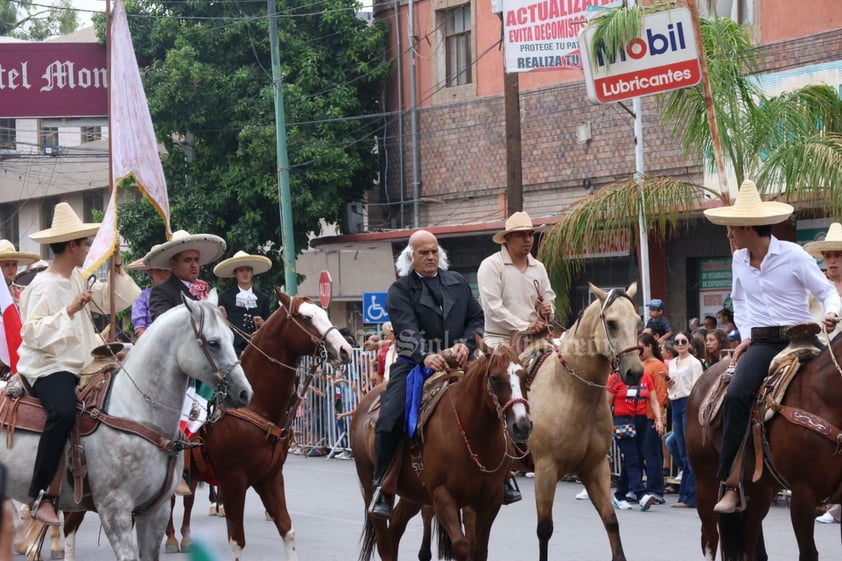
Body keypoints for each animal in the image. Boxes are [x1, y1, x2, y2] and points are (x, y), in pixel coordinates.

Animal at [0, 296, 253, 556]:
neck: (136, 412)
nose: (245, 392)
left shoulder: (155, 512)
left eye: (231, 337)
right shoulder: (115, 510)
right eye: (213, 343)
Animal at [164, 290, 352, 556]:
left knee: (187, 499)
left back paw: (187, 538)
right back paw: (171, 538)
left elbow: (286, 528)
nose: (345, 350)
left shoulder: (271, 477)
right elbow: (237, 539)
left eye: (324, 313)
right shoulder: (234, 481)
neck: (256, 406)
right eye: (306, 317)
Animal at [352, 334, 528, 560]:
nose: (522, 425)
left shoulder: (490, 501)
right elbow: (461, 546)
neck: (474, 436)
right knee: (384, 542)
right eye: (495, 379)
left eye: (524, 376)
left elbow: (479, 550)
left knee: (395, 530)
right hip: (369, 486)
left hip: (414, 493)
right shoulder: (443, 497)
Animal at [524, 282, 644, 560]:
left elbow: (611, 521)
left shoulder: (595, 467)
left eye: (638, 321)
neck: (571, 392)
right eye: (611, 323)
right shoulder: (545, 470)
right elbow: (544, 530)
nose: (635, 372)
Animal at [684, 328, 842, 560]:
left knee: (749, 543)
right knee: (710, 539)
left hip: (759, 491)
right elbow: (808, 552)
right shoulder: (803, 493)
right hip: (706, 481)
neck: (824, 398)